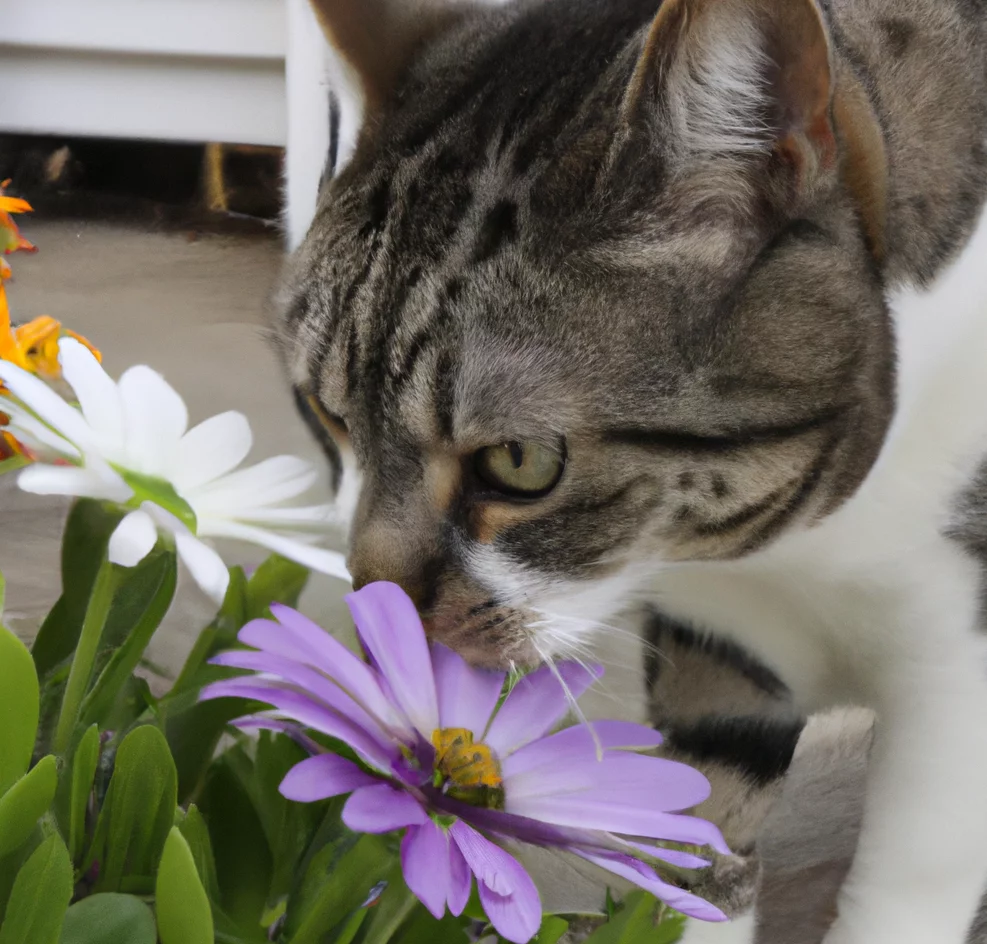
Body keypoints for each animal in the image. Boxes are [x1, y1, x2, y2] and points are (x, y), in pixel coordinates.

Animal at [274, 3, 987, 940]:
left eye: (519, 462)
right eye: (327, 417)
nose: (375, 602)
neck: (796, 551)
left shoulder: (957, 682)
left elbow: (906, 890)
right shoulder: (719, 649)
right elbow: (706, 845)